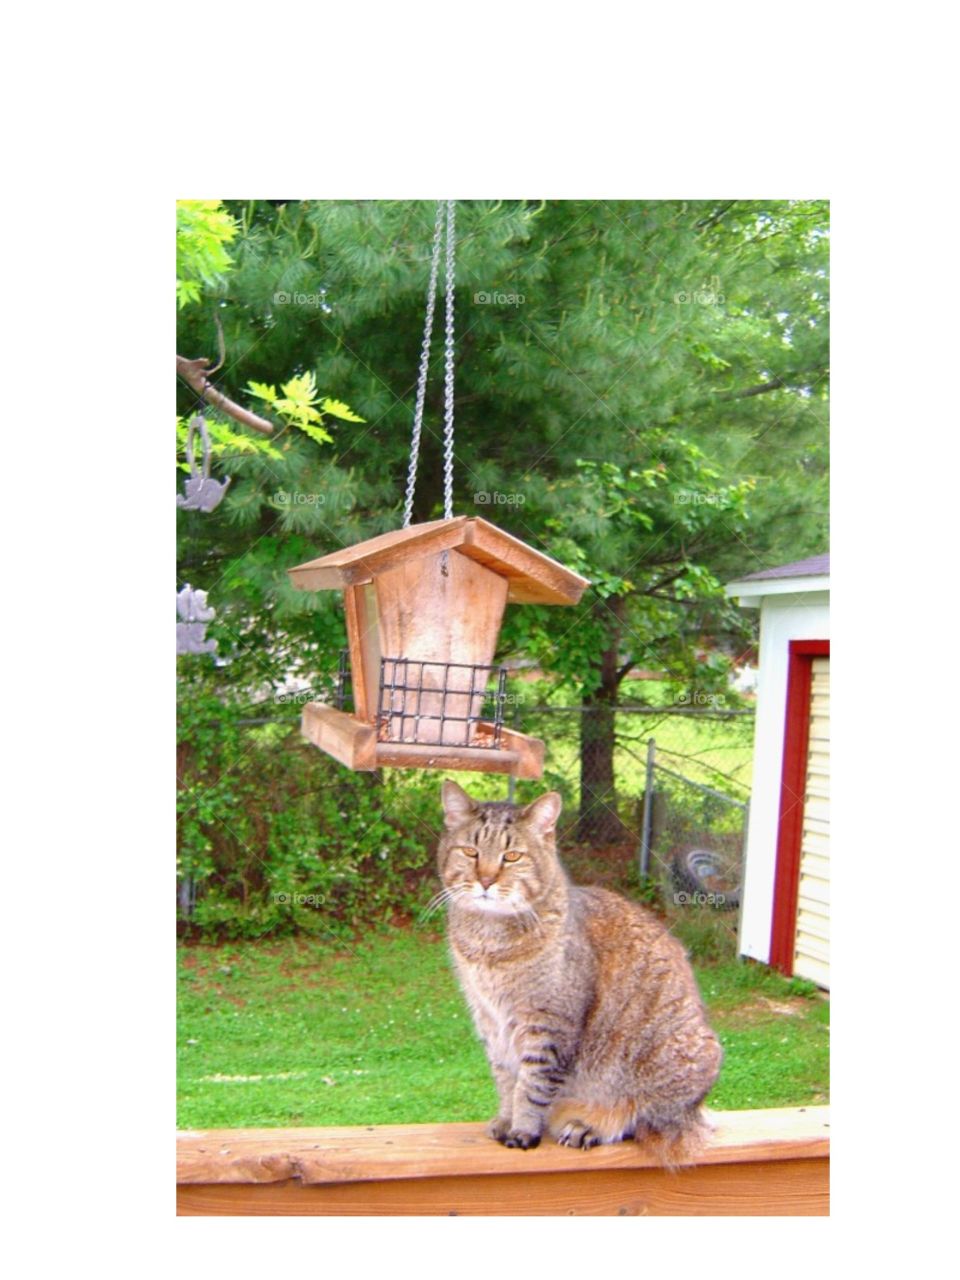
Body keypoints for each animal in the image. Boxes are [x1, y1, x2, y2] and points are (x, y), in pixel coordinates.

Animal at [435, 778, 721, 1162]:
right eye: (470, 852)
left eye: (512, 856)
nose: (485, 880)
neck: (488, 941)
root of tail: (697, 1110)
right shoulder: (491, 1023)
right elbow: (506, 1080)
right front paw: (505, 1120)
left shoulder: (548, 1026)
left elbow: (531, 1085)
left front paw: (523, 1130)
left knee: (646, 1120)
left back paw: (593, 1126)